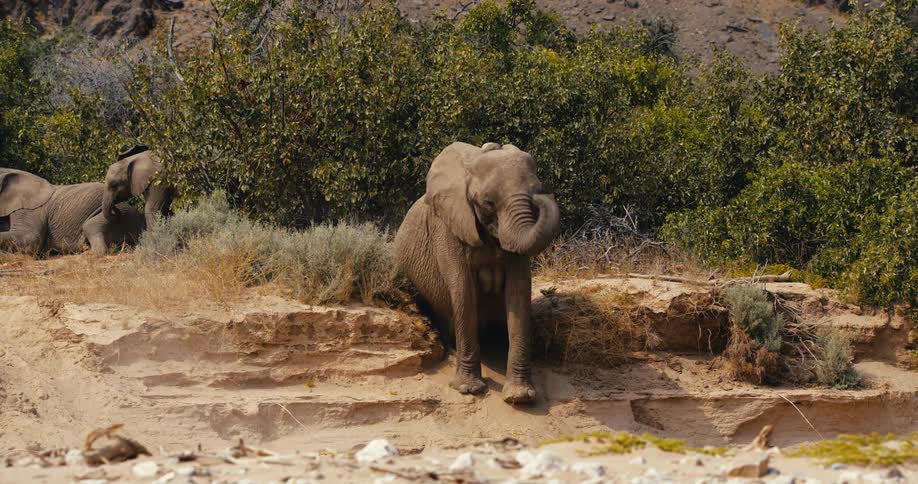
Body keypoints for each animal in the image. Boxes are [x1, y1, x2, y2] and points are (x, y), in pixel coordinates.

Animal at [395, 142, 560, 404]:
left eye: (537, 190)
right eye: (488, 202)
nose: (543, 197)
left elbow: (519, 292)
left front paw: (520, 397)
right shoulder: (448, 227)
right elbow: (464, 290)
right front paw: (468, 389)